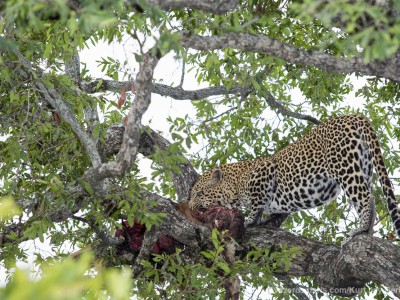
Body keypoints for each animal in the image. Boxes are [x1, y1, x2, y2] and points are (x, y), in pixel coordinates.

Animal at [189, 115, 400, 239]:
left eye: (199, 193)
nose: (190, 207)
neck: (236, 182)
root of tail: (354, 116)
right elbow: (280, 212)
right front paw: (270, 221)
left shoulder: (265, 171)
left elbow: (257, 203)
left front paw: (250, 219)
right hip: (364, 166)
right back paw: (368, 230)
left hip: (343, 165)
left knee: (366, 197)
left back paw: (361, 229)